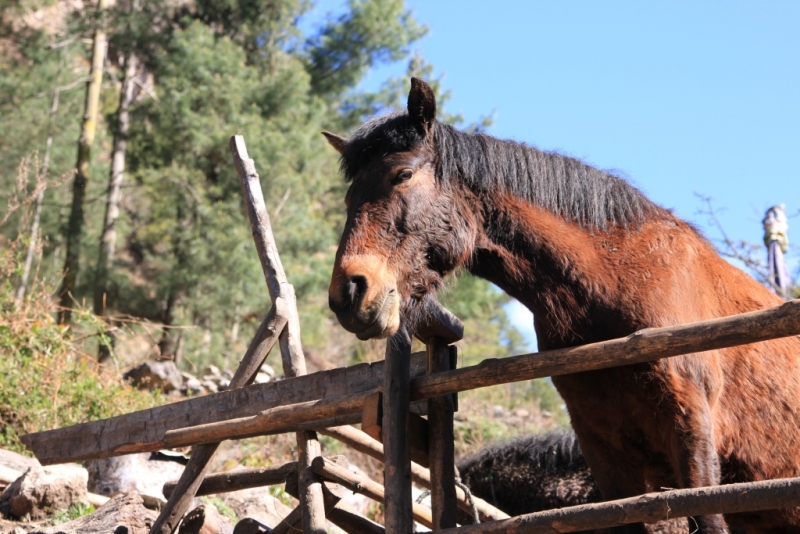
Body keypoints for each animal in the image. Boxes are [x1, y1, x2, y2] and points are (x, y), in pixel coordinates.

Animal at [324, 77, 800, 532]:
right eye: (348, 199)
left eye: (402, 174)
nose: (349, 294)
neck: (623, 281)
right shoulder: (603, 448)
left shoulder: (691, 431)